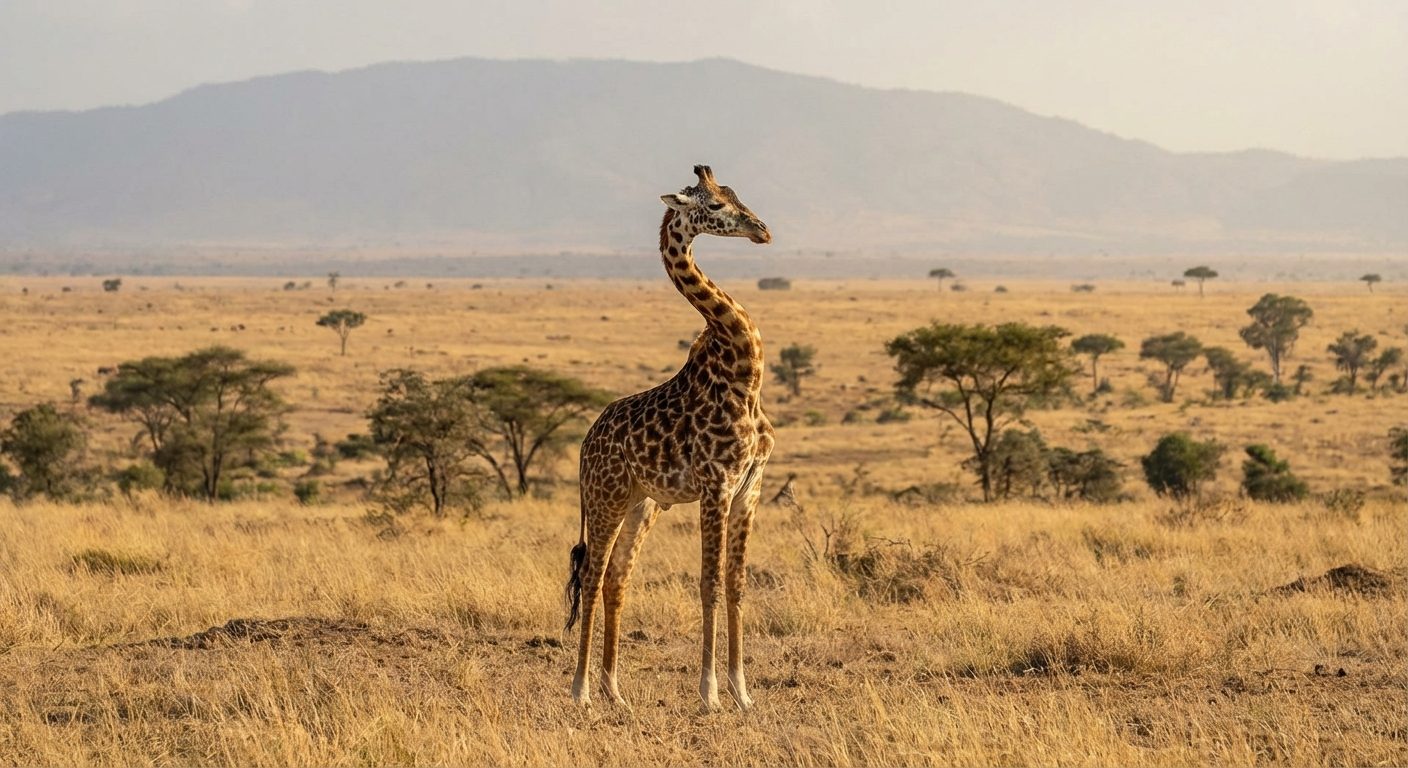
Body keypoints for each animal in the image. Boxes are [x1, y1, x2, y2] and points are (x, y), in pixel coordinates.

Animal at [564, 164, 773, 711]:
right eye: (716, 205)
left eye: (737, 194)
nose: (763, 230)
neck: (745, 374)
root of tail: (585, 445)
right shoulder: (716, 485)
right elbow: (709, 583)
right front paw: (710, 694)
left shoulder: (750, 487)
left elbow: (737, 584)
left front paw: (743, 693)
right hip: (606, 497)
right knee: (592, 576)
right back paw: (581, 691)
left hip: (642, 503)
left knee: (618, 577)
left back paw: (615, 691)